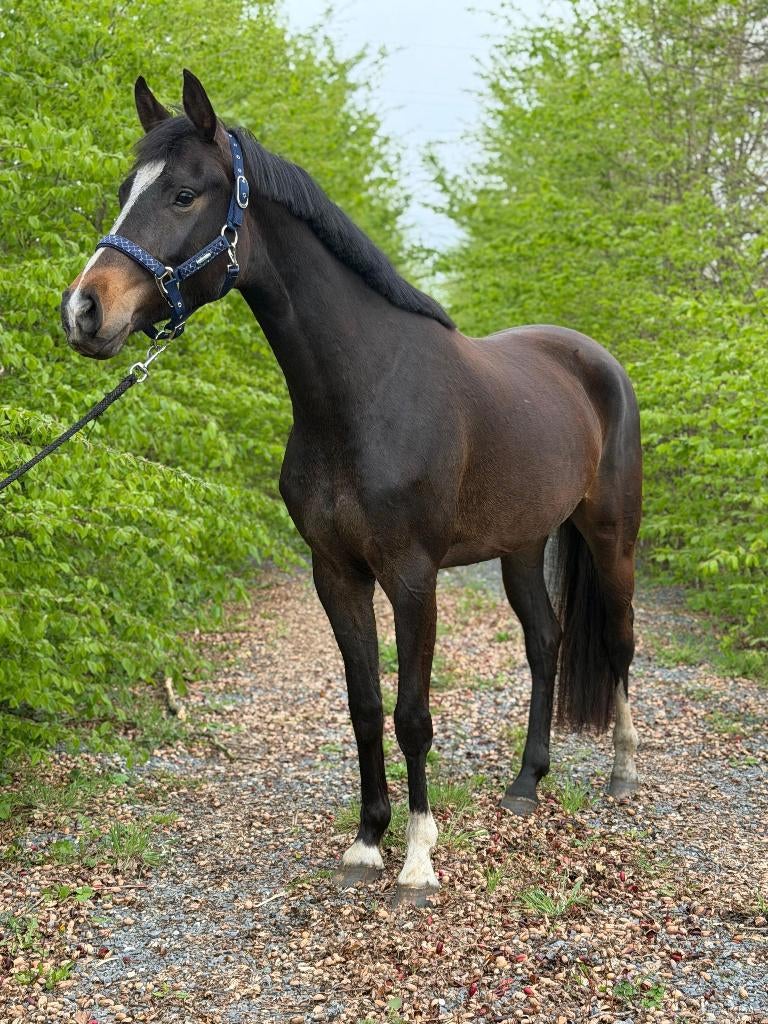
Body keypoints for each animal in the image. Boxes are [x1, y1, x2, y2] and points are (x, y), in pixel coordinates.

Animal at [61, 71, 642, 904]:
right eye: (123, 191)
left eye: (182, 194)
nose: (85, 310)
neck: (362, 393)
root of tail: (594, 360)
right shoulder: (336, 573)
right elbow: (365, 706)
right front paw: (368, 840)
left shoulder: (413, 579)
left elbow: (413, 714)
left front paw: (419, 856)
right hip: (523, 545)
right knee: (545, 642)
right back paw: (526, 784)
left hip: (611, 534)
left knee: (620, 641)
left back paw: (623, 772)